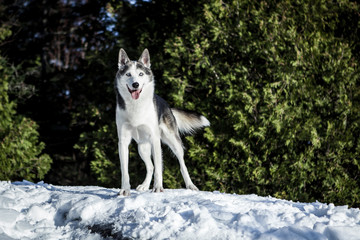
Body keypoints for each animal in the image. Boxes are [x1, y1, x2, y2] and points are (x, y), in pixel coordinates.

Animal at [115, 48, 210, 195]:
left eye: (141, 74)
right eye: (128, 74)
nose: (135, 84)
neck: (136, 106)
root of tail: (167, 106)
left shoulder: (155, 140)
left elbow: (160, 168)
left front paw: (158, 188)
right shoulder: (123, 141)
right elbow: (125, 171)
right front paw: (125, 190)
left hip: (173, 142)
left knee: (181, 164)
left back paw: (190, 185)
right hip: (142, 148)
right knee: (150, 167)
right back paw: (144, 185)